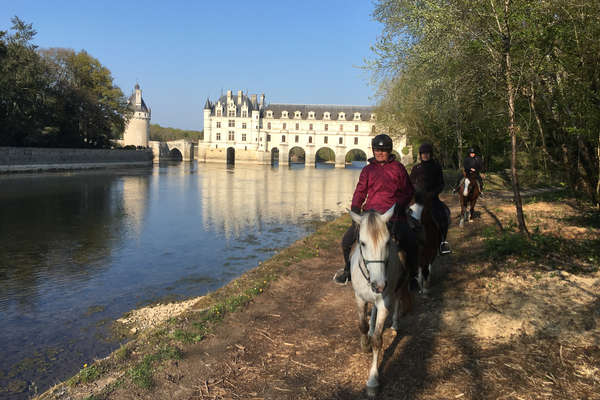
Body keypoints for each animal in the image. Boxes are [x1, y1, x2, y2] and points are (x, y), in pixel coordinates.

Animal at [350, 206, 410, 396]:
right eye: (362, 243)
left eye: (387, 243)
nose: (380, 285)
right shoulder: (359, 298)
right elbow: (362, 325)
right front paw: (365, 344)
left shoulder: (385, 303)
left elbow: (378, 340)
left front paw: (373, 380)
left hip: (399, 285)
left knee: (398, 301)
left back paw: (395, 324)